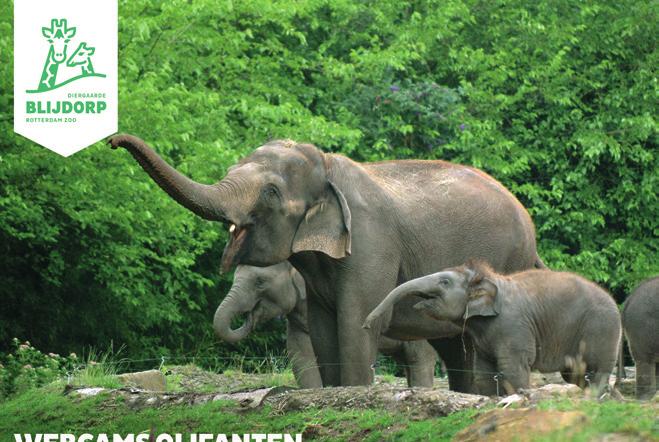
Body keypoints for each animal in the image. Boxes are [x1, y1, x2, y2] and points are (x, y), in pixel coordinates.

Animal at [364, 260, 620, 396]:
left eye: (444, 282)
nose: (366, 324)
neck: (486, 278)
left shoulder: (513, 327)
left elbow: (512, 368)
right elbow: (484, 372)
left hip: (602, 330)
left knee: (597, 372)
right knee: (576, 374)